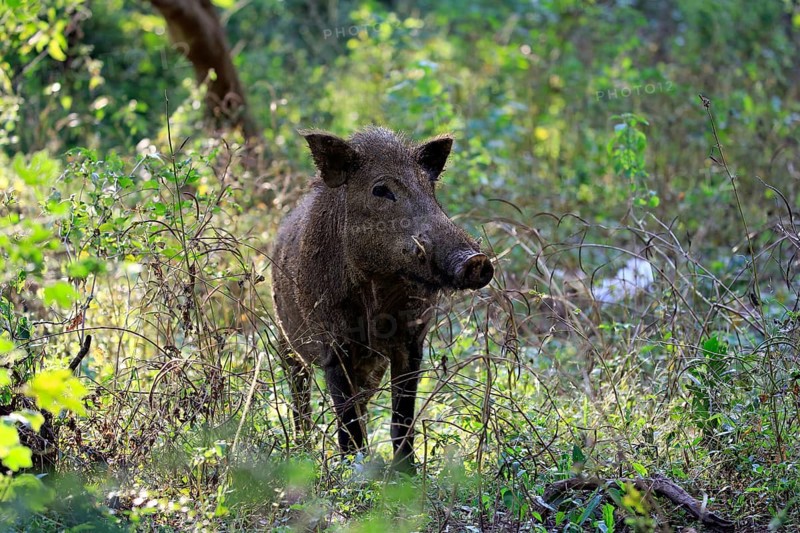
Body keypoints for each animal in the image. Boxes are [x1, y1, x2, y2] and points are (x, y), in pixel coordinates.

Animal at [271, 126, 494, 472]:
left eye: (429, 186)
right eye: (381, 190)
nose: (477, 261)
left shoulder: (412, 340)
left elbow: (401, 416)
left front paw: (406, 473)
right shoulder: (332, 342)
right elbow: (346, 421)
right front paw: (355, 472)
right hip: (285, 342)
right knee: (300, 398)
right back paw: (302, 450)